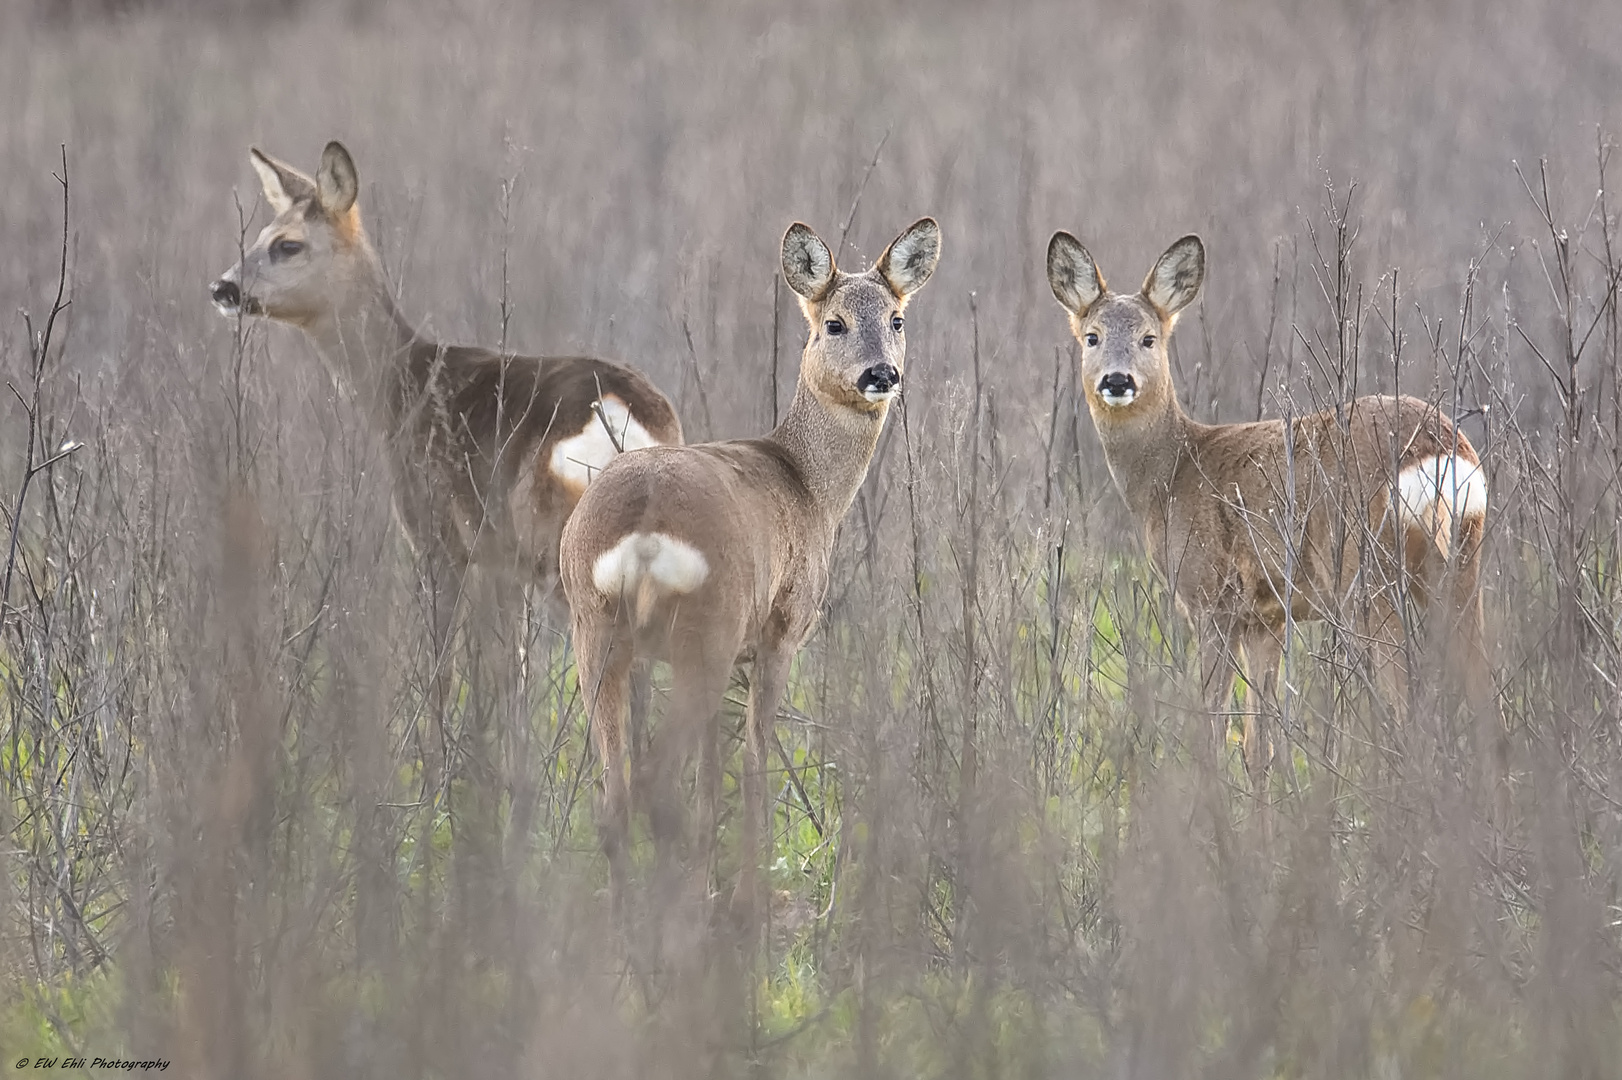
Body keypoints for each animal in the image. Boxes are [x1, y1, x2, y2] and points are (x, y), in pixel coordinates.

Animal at [207, 138, 677, 720]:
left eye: (288, 245)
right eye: (261, 236)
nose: (223, 288)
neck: (400, 385)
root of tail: (619, 419)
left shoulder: (438, 535)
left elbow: (446, 668)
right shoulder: (499, 561)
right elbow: (510, 672)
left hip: (559, 544)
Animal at [557, 217, 940, 914]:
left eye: (896, 318)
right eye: (834, 323)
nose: (881, 374)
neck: (808, 484)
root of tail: (643, 524)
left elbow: (713, 774)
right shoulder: (777, 633)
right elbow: (756, 757)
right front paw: (744, 896)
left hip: (595, 630)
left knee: (615, 796)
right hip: (703, 630)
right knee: (655, 782)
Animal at [1044, 231, 1485, 791]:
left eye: (1148, 338)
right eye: (1092, 336)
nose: (1117, 381)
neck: (1171, 475)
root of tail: (1440, 449)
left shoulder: (1210, 597)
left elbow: (1212, 728)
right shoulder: (1267, 616)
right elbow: (1259, 747)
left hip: (1366, 576)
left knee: (1408, 705)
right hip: (1463, 563)